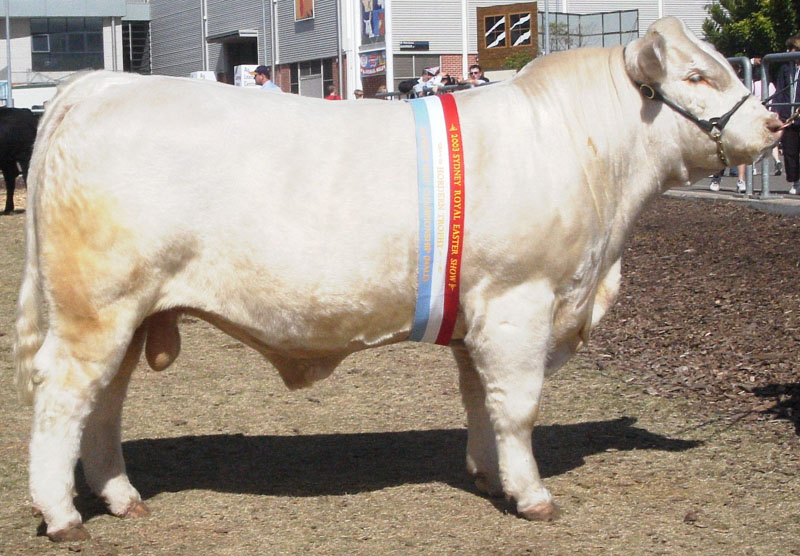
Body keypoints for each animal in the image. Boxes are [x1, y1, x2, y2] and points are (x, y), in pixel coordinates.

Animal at [14, 18, 780, 544]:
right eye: (698, 77)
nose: (775, 122)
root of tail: (101, 84)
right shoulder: (519, 301)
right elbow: (518, 405)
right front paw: (533, 496)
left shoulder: (478, 315)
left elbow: (480, 402)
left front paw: (487, 475)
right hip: (94, 309)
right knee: (63, 398)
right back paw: (62, 515)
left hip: (130, 312)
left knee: (105, 404)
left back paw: (120, 497)